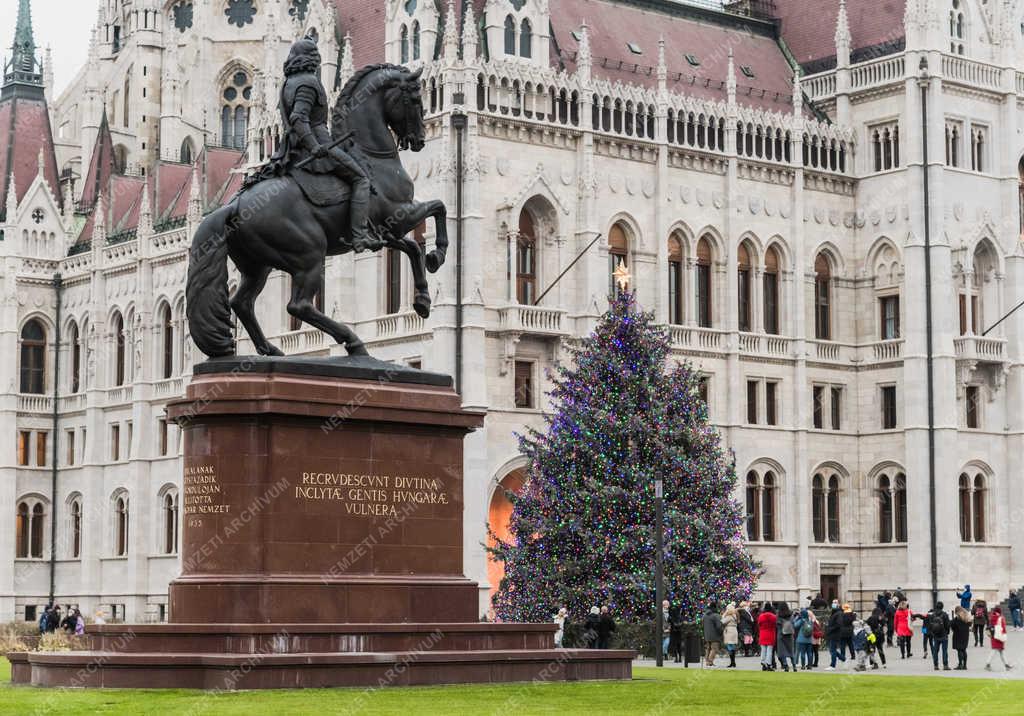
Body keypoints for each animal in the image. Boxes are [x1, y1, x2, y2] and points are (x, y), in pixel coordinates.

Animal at [186, 65, 446, 358]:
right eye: (414, 99)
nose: (418, 140)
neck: (370, 156)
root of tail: (233, 204)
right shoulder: (399, 217)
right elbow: (438, 208)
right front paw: (437, 255)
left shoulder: (385, 232)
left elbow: (413, 247)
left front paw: (423, 299)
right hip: (309, 254)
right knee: (297, 305)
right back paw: (351, 341)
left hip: (258, 266)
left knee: (241, 303)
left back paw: (270, 349)